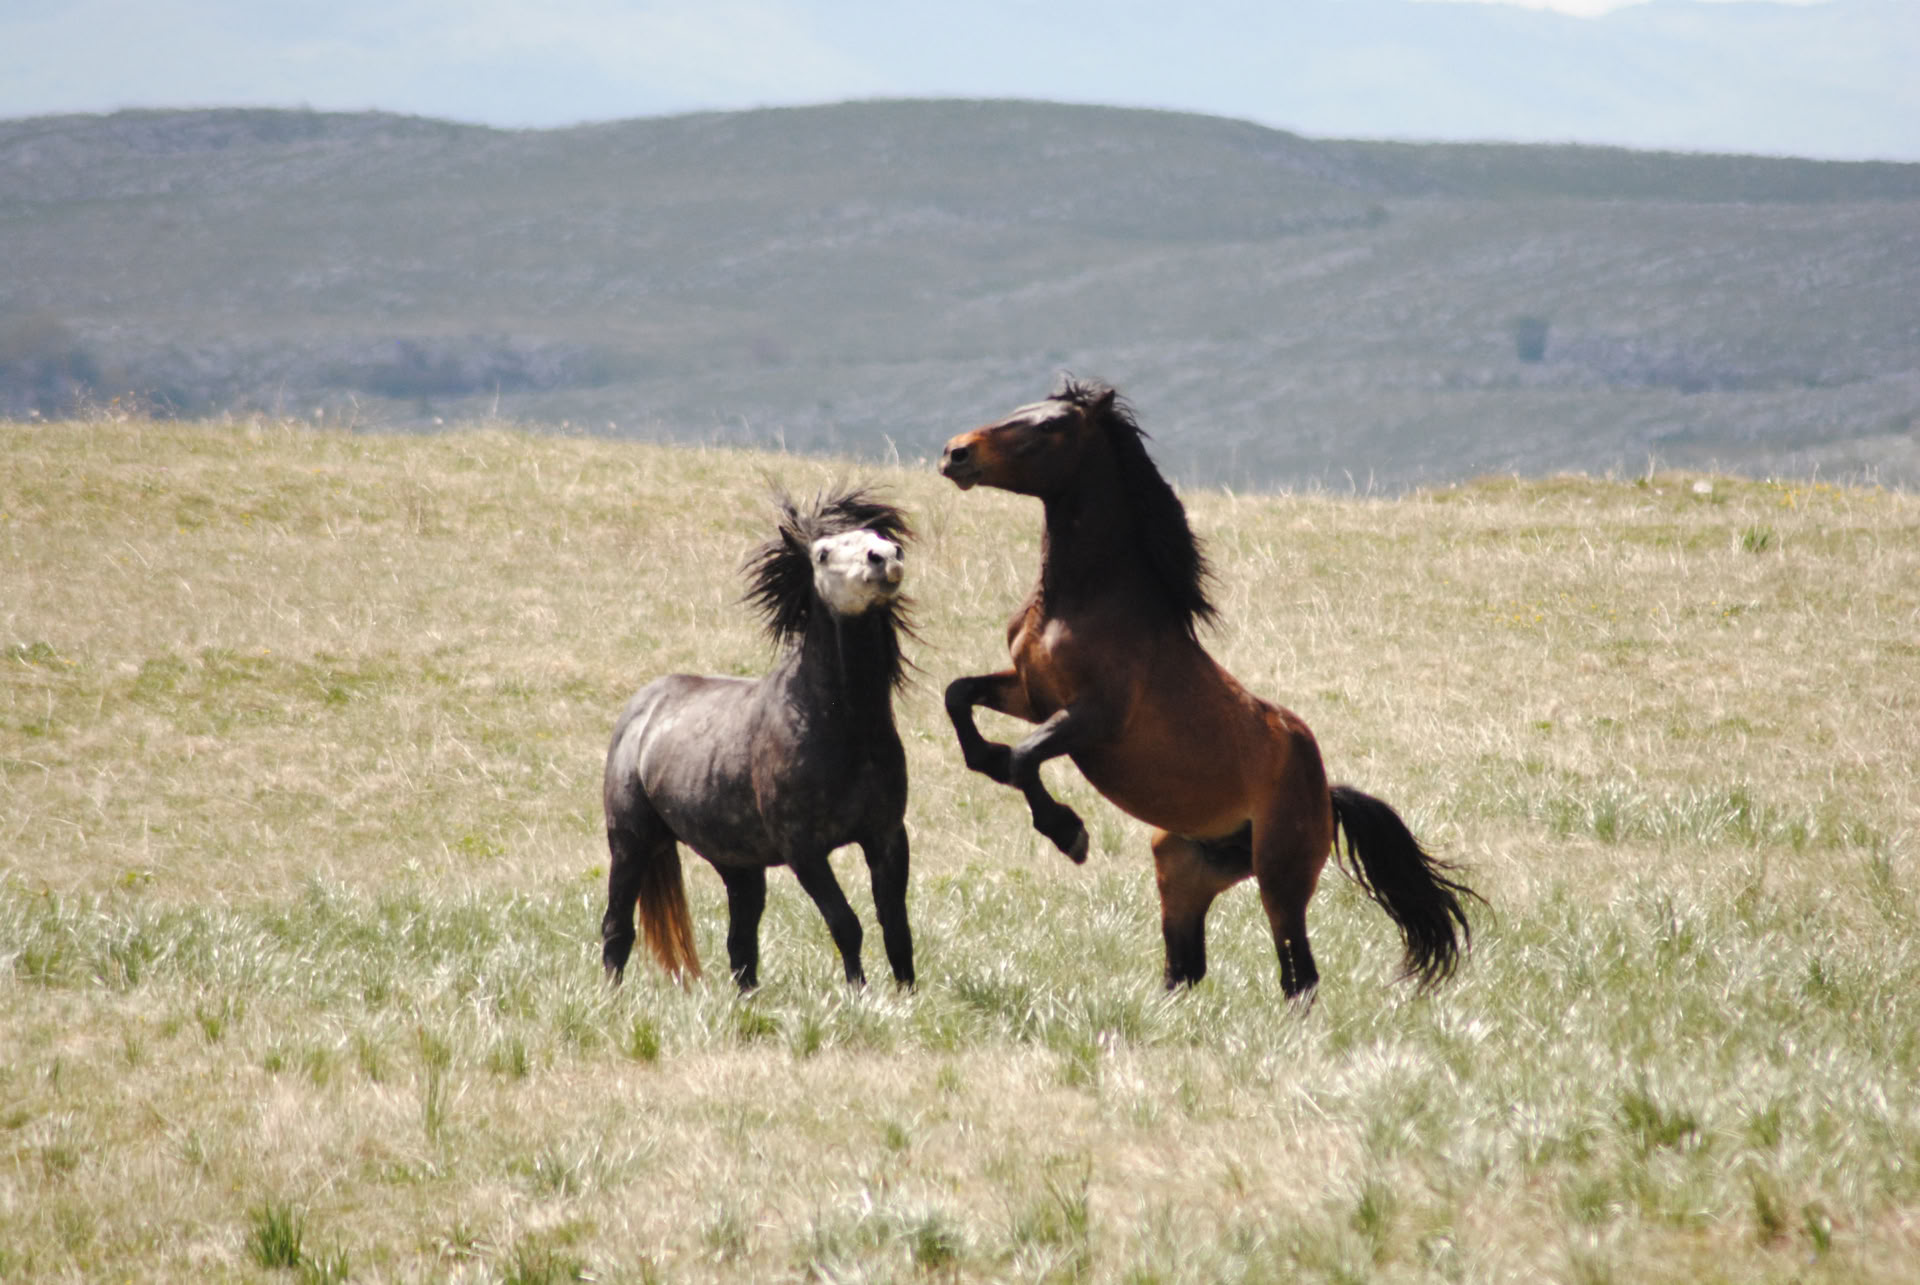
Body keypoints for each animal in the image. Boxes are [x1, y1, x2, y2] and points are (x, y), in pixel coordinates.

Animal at [600, 486, 917, 991]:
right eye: (822, 553)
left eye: (879, 536)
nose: (884, 558)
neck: (840, 728)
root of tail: (640, 709)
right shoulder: (803, 850)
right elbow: (846, 923)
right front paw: (860, 993)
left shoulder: (887, 836)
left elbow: (896, 926)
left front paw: (906, 994)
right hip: (630, 841)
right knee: (617, 927)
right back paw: (611, 997)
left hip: (739, 867)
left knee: (741, 945)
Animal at [938, 379, 1478, 997]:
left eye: (1051, 424)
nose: (956, 453)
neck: (1079, 604)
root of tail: (1327, 794)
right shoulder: (1032, 697)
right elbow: (959, 696)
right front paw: (987, 760)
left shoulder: (1093, 717)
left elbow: (1025, 756)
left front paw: (1067, 832)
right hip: (1183, 871)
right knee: (1185, 970)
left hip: (1279, 878)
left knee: (1298, 976)